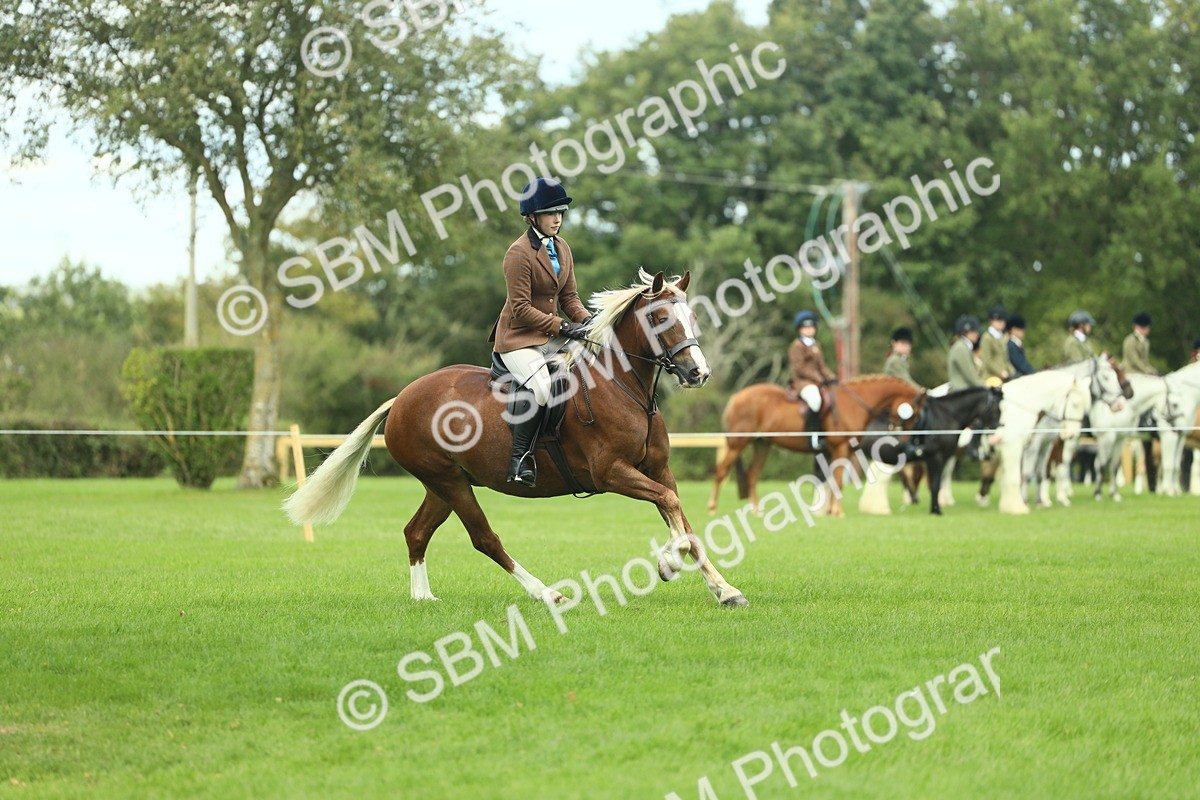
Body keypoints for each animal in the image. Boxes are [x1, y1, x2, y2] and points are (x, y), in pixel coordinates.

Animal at [283, 270, 751, 607]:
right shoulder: (612, 473)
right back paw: (548, 593)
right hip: (449, 482)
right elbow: (673, 510)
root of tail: (402, 397)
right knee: (485, 539)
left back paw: (423, 597)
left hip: (444, 483)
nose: (698, 373)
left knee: (416, 532)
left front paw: (725, 590)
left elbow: (684, 521)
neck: (623, 387)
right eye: (659, 318)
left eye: (692, 318)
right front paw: (667, 564)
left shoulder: (658, 469)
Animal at [707, 376, 927, 517]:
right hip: (738, 444)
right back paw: (712, 508)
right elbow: (837, 481)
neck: (854, 404)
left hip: (762, 444)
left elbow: (833, 481)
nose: (907, 441)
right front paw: (838, 512)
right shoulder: (840, 448)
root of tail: (737, 397)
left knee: (752, 474)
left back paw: (757, 511)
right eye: (915, 414)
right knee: (721, 471)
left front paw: (830, 511)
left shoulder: (842, 452)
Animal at [858, 386, 1003, 516]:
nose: (996, 430)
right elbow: (935, 485)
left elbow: (935, 484)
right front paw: (936, 511)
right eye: (996, 407)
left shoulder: (935, 459)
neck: (946, 417)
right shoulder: (937, 458)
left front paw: (935, 508)